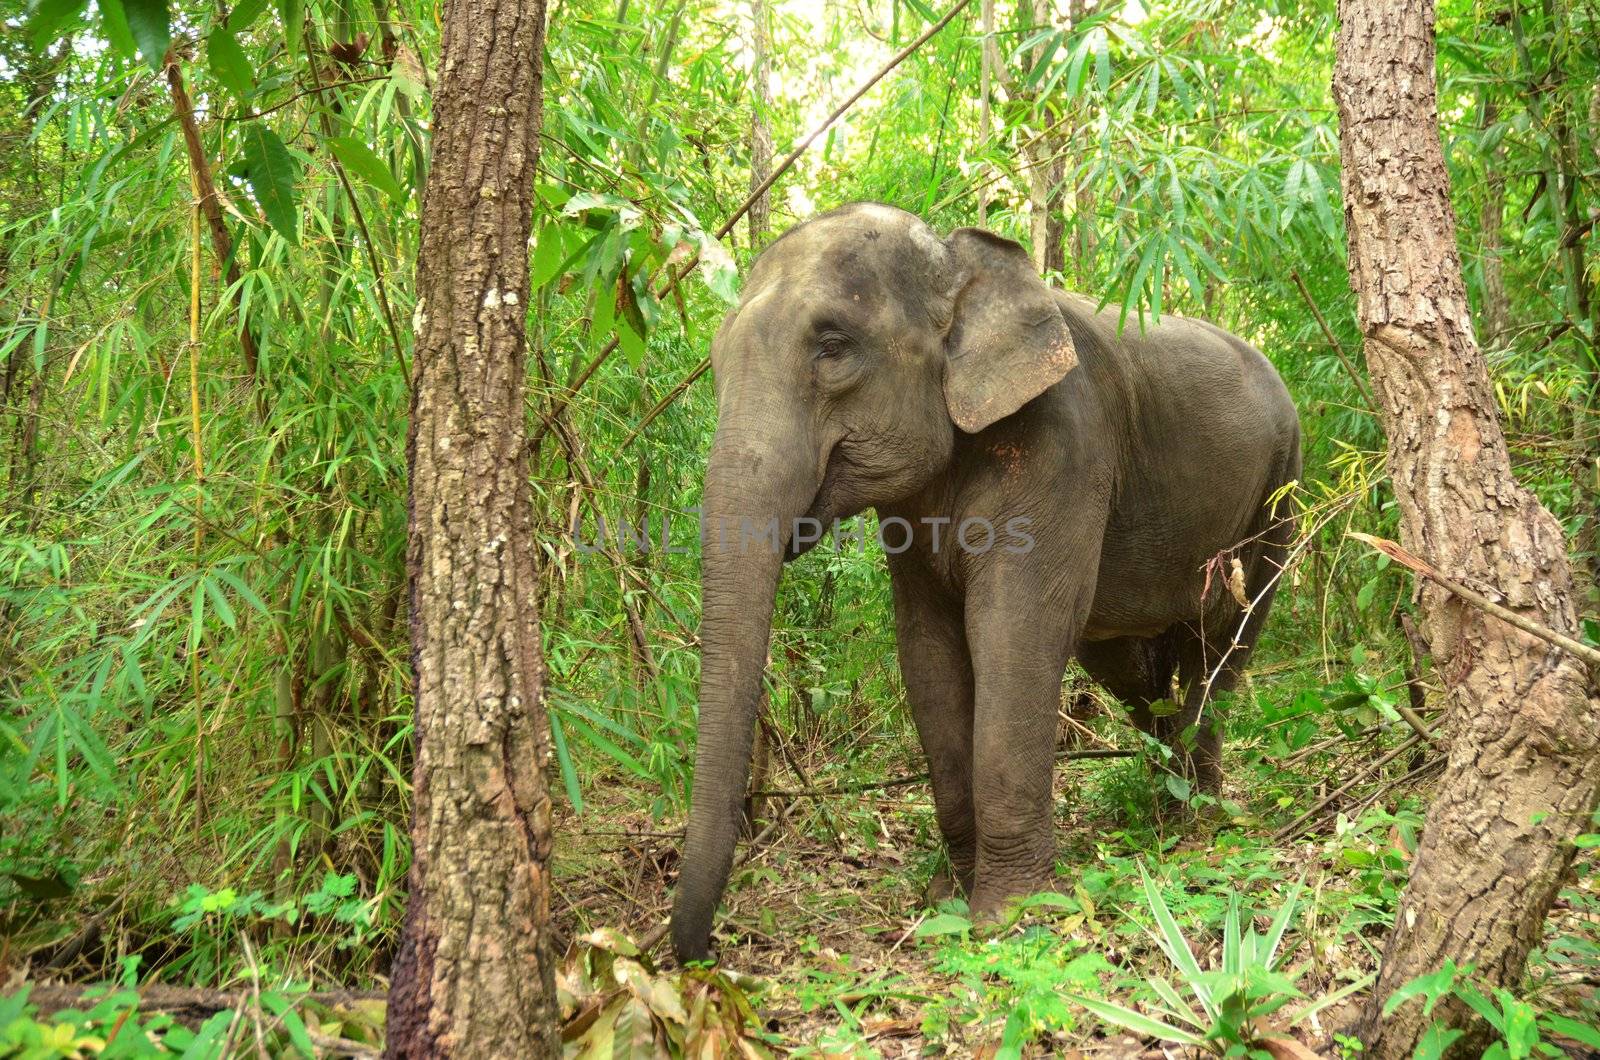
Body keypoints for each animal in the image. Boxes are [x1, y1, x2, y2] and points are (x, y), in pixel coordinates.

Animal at [662, 203, 1299, 967]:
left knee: (1220, 647)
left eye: (833, 346)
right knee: (1127, 666)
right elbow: (928, 653)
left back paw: (1194, 819)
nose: (701, 951)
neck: (959, 262)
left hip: (1280, 494)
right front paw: (947, 898)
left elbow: (1015, 633)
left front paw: (1009, 916)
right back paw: (1161, 803)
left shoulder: (1063, 446)